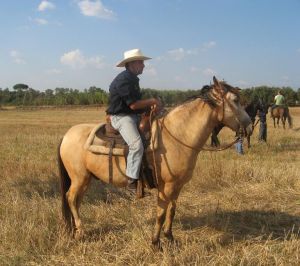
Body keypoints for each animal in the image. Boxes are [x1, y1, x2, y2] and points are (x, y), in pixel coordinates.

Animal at [57, 76, 252, 247]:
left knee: (76, 200)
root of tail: (66, 135)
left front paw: (170, 237)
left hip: (86, 179)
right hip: (79, 178)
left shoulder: (178, 186)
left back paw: (76, 230)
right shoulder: (166, 186)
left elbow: (172, 211)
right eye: (235, 100)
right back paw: (81, 231)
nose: (249, 127)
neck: (177, 135)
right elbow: (161, 213)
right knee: (71, 198)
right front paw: (156, 242)